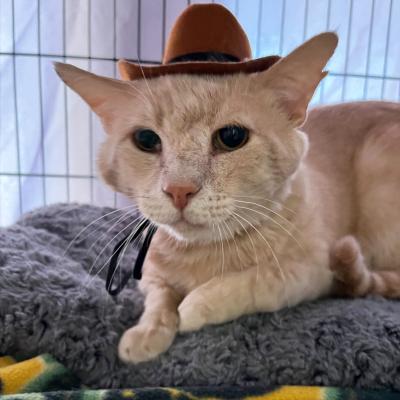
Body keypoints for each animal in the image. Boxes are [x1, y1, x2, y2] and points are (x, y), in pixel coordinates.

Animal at [54, 32, 400, 364]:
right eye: (146, 140)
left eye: (232, 137)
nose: (179, 190)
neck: (201, 254)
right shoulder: (151, 272)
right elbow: (158, 296)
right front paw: (148, 330)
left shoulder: (311, 272)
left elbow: (255, 281)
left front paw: (195, 306)